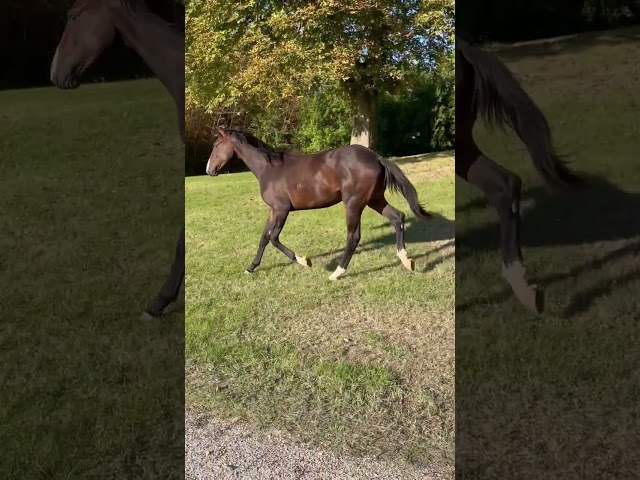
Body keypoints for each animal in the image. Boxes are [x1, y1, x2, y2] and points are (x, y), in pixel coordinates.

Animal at [205, 127, 431, 280]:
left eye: (216, 146)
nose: (209, 170)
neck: (269, 170)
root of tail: (376, 157)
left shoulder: (282, 209)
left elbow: (274, 238)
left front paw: (305, 261)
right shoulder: (272, 210)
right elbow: (264, 238)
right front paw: (251, 267)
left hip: (354, 203)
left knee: (354, 236)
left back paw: (337, 273)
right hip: (374, 199)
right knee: (397, 217)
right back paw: (407, 261)